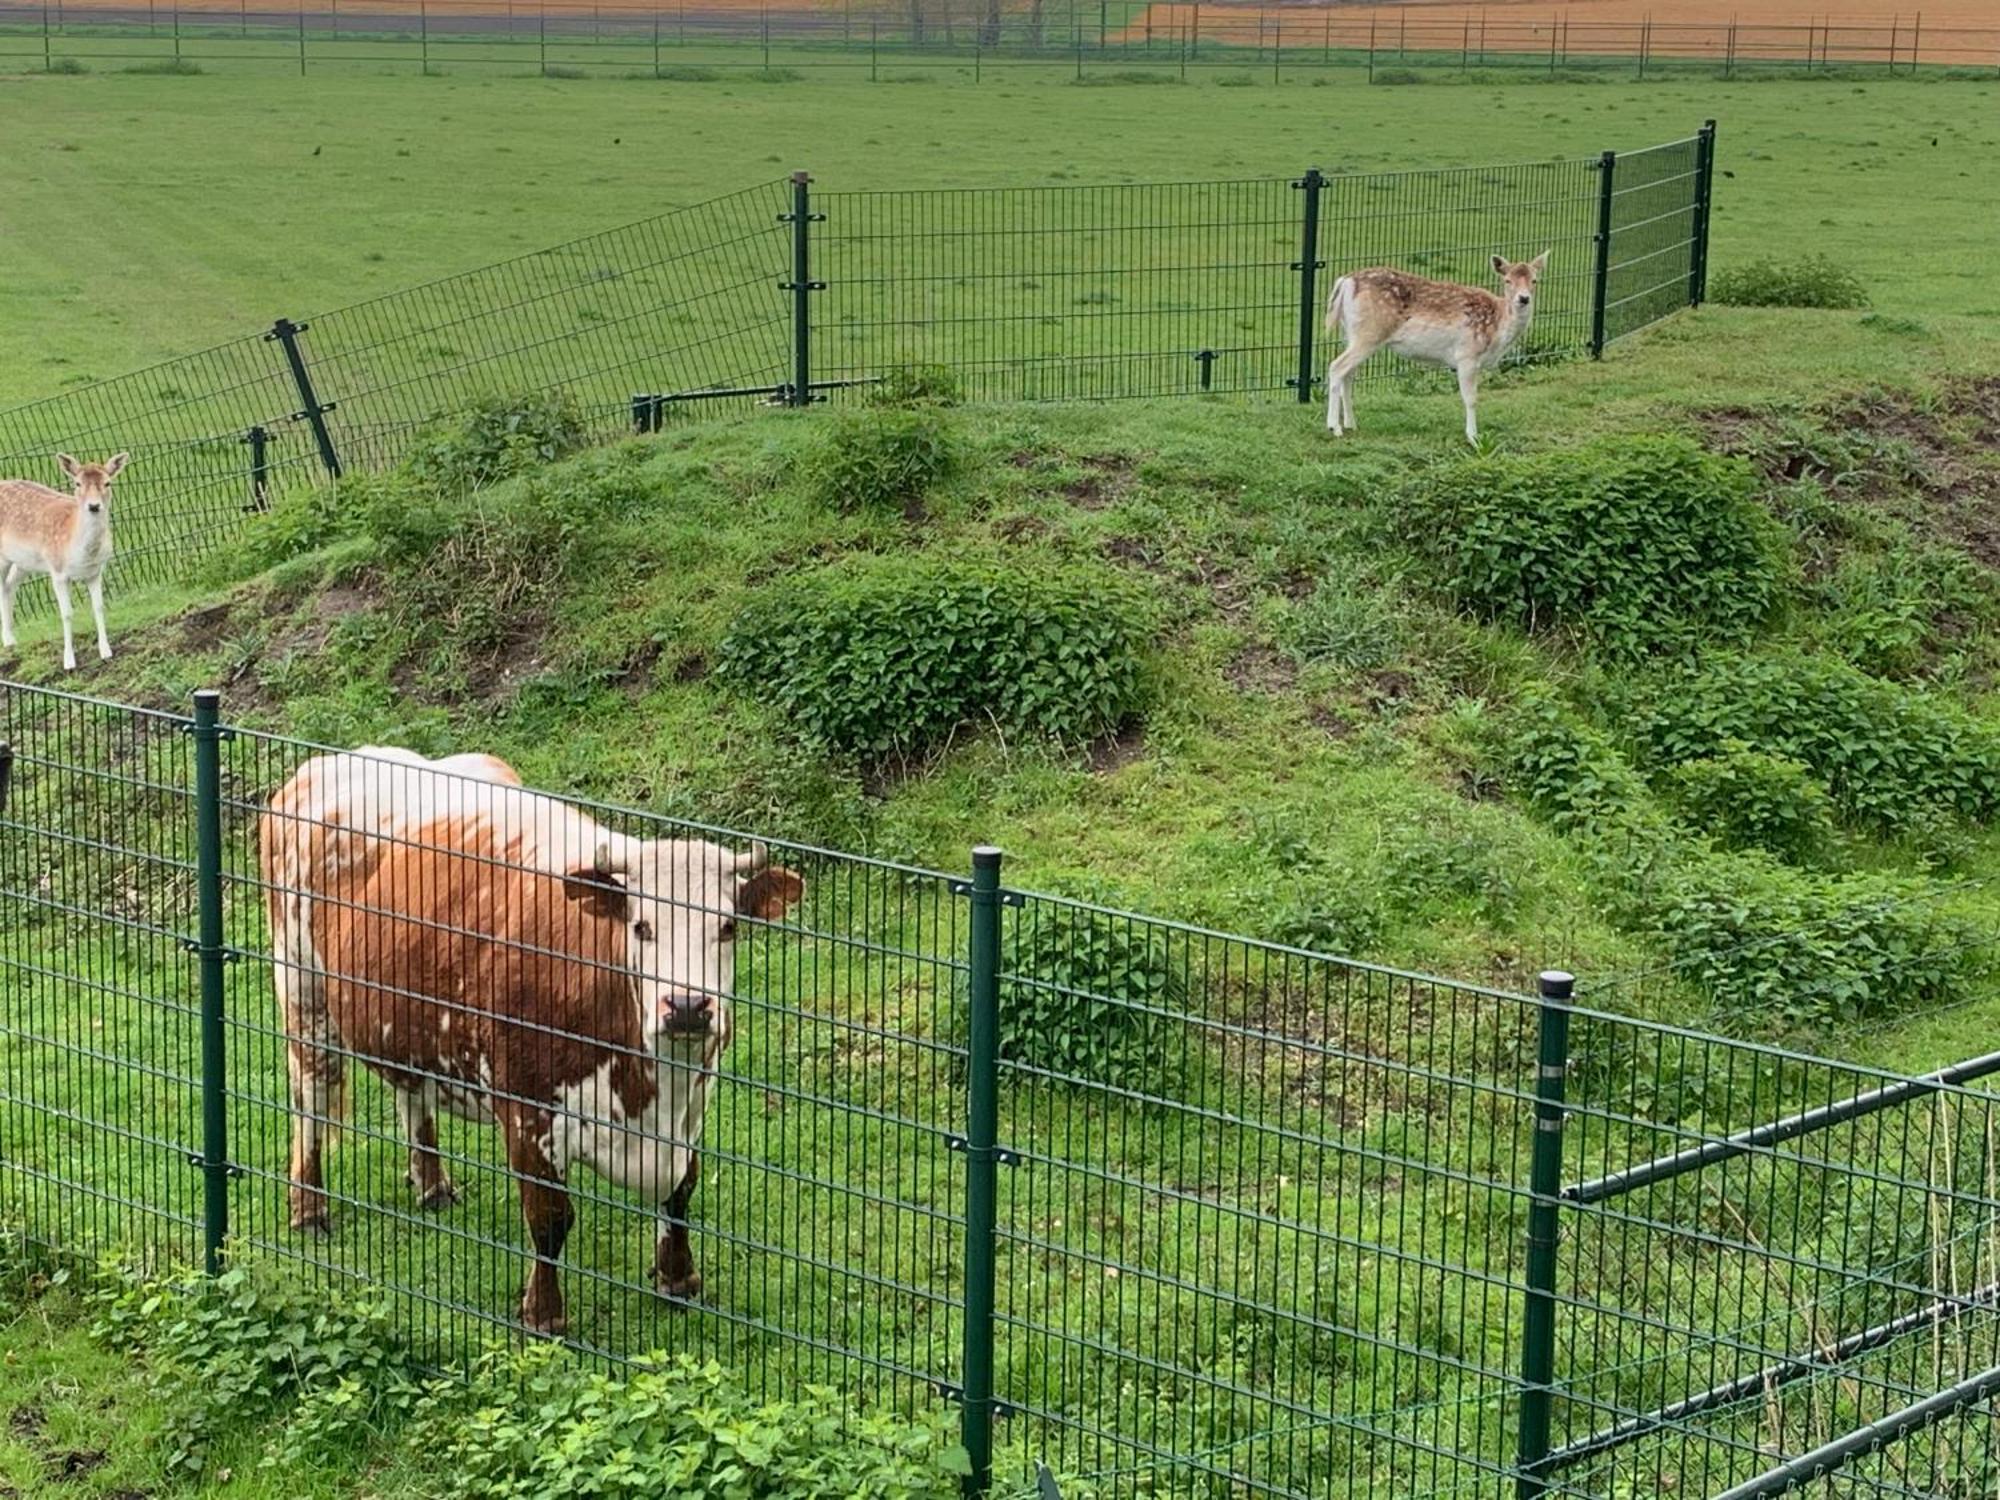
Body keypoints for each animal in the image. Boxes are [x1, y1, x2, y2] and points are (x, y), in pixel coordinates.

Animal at [0, 452, 127, 676]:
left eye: (107, 482)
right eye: (77, 483)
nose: (94, 506)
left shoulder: (95, 571)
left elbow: (99, 607)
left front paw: (106, 652)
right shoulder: (58, 572)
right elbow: (66, 614)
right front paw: (69, 662)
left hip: (23, 562)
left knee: (8, 585)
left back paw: (10, 641)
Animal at [260, 752, 804, 1336]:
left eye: (728, 927)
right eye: (641, 926)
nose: (685, 1006)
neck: (650, 1089)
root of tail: (335, 761)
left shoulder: (696, 1101)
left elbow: (681, 1191)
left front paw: (678, 1280)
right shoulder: (527, 1110)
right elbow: (550, 1218)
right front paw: (544, 1314)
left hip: (402, 1016)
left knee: (412, 1093)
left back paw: (431, 1184)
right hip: (303, 991)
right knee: (311, 1103)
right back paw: (309, 1208)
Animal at [1320, 254, 1552, 446]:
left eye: (1535, 280)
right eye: (1507, 280)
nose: (1523, 298)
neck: (1497, 329)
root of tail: (1345, 282)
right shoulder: (1467, 354)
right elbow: (1471, 398)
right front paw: (1473, 437)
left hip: (1351, 333)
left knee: (1349, 373)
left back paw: (1351, 423)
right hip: (1370, 332)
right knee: (1336, 366)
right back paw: (1334, 427)